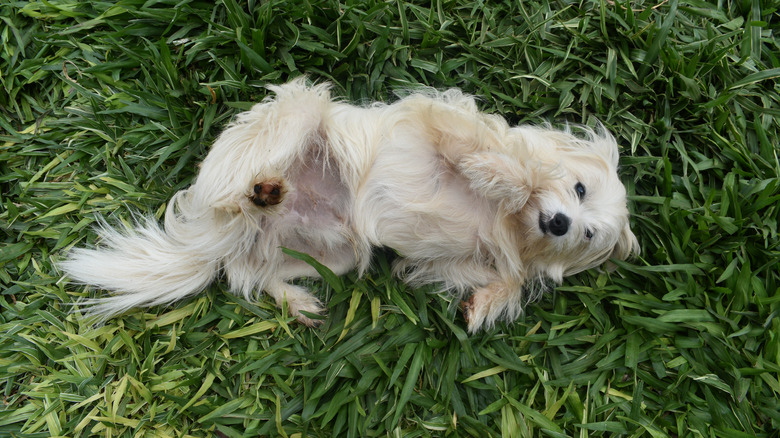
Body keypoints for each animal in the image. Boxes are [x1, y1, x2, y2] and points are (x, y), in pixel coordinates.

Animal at [62, 78, 640, 332]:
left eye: (588, 234)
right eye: (580, 189)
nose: (561, 222)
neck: (509, 223)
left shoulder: (456, 261)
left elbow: (508, 279)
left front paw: (486, 305)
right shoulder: (434, 127)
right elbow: (496, 157)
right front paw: (513, 177)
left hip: (331, 254)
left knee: (248, 272)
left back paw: (294, 296)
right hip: (298, 114)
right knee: (235, 204)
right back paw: (260, 189)